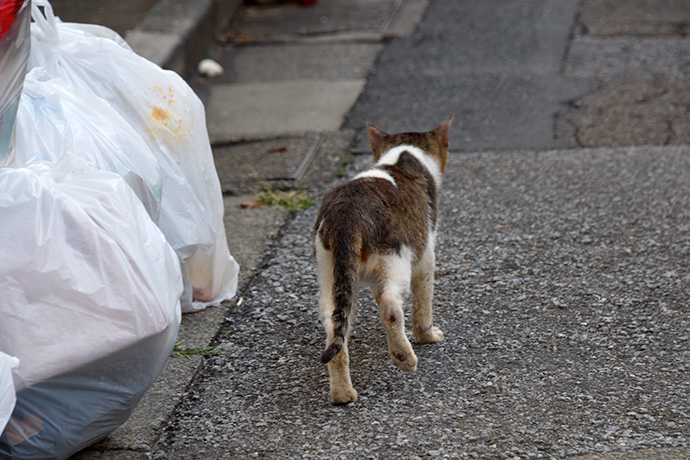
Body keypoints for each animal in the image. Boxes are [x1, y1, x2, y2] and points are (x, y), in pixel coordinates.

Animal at [314, 117, 452, 404]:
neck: (402, 156)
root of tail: (345, 214)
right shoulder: (425, 253)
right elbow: (422, 303)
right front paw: (427, 335)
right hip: (396, 259)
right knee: (390, 306)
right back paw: (404, 357)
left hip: (331, 272)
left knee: (335, 327)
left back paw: (343, 394)